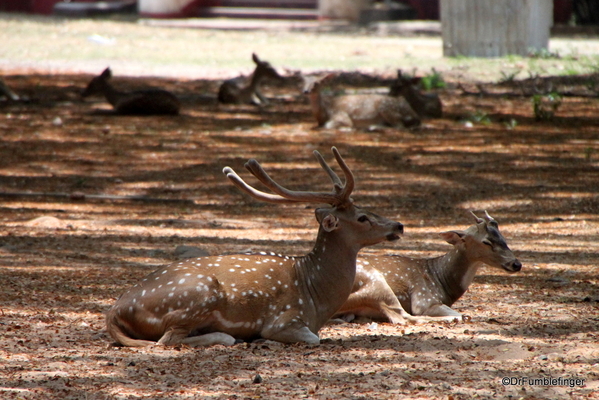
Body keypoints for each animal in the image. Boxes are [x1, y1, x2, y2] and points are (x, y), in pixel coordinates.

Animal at [105, 147, 406, 346]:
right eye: (362, 217)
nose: (398, 225)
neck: (316, 299)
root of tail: (115, 312)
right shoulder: (284, 319)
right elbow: (313, 339)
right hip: (197, 295)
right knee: (168, 339)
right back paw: (226, 336)